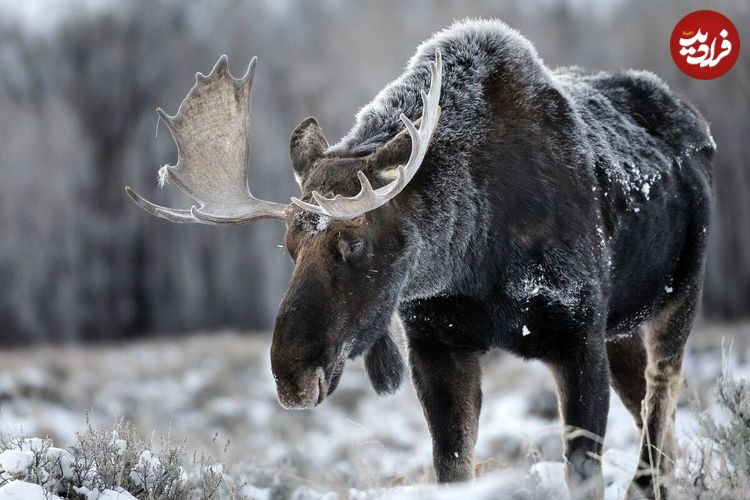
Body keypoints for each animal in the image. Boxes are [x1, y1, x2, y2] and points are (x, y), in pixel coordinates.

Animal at [128, 18, 716, 500]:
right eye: (288, 246)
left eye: (355, 241)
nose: (291, 375)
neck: (474, 260)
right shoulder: (437, 344)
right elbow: (452, 468)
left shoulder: (575, 336)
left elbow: (584, 471)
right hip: (621, 327)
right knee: (652, 414)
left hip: (678, 298)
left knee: (661, 401)